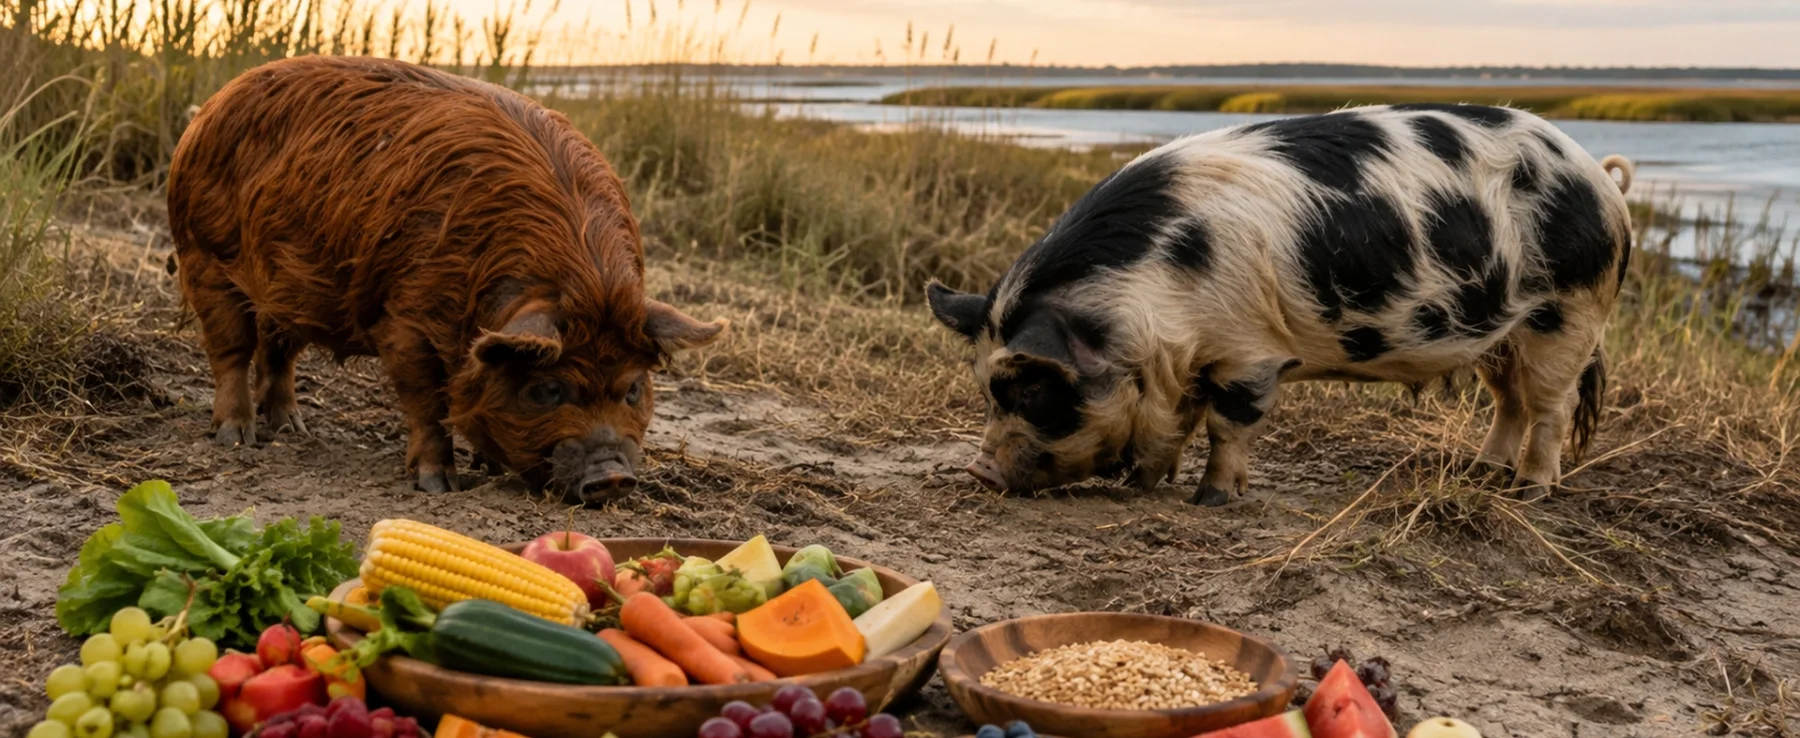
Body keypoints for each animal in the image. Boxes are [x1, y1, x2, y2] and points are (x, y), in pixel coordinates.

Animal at [166, 56, 727, 502]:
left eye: (633, 389)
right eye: (547, 389)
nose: (611, 478)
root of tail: (209, 108)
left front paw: (489, 467)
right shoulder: (404, 320)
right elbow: (427, 401)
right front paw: (440, 485)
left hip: (289, 289)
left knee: (279, 350)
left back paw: (294, 427)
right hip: (203, 255)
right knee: (231, 349)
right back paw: (237, 437)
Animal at [927, 104, 1633, 504]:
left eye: (1033, 389)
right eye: (988, 389)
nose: (980, 471)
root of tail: (1602, 181)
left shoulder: (1251, 352)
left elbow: (1225, 422)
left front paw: (1212, 500)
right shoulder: (1191, 359)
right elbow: (1181, 419)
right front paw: (1146, 483)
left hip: (1567, 314)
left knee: (1551, 407)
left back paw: (1530, 492)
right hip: (1503, 334)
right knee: (1510, 402)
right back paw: (1482, 473)